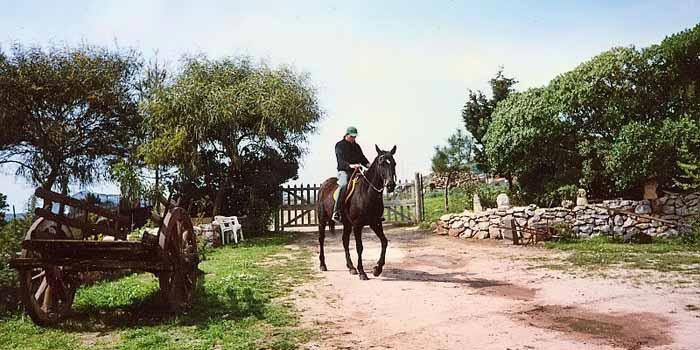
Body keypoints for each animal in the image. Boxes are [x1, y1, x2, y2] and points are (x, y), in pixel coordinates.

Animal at [316, 144, 396, 280]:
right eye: (382, 163)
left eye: (394, 163)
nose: (391, 185)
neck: (367, 192)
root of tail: (323, 185)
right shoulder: (358, 226)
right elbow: (359, 247)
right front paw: (362, 272)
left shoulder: (375, 223)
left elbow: (384, 242)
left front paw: (377, 269)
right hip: (322, 220)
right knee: (321, 239)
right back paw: (323, 265)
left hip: (347, 224)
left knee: (345, 241)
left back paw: (351, 267)